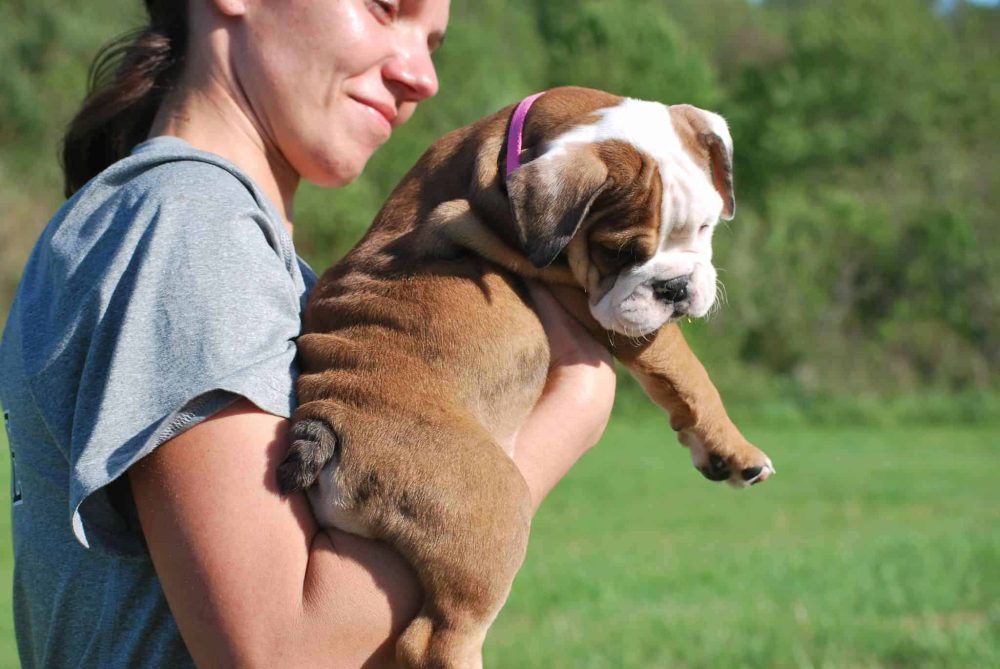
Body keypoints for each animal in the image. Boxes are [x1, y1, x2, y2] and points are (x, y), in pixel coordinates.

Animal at [280, 87, 772, 668]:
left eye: (705, 227)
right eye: (618, 251)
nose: (675, 287)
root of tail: (329, 418)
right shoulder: (600, 305)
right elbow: (685, 369)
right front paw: (739, 450)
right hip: (493, 514)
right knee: (435, 638)